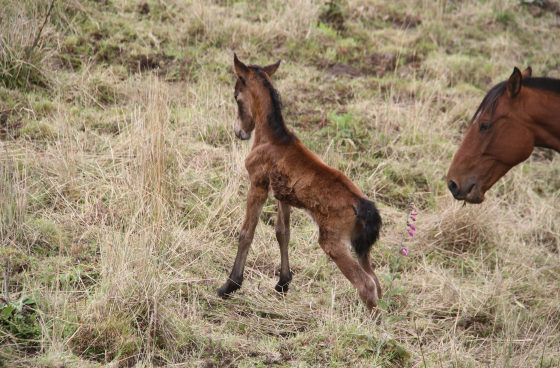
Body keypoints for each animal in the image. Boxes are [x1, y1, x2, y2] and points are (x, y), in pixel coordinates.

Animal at [217, 56, 382, 312]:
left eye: (236, 96)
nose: (240, 132)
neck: (274, 139)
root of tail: (363, 204)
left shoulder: (258, 185)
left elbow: (247, 232)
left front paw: (230, 285)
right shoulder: (282, 195)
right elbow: (283, 233)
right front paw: (283, 283)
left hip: (333, 243)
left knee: (366, 285)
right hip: (361, 249)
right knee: (376, 281)